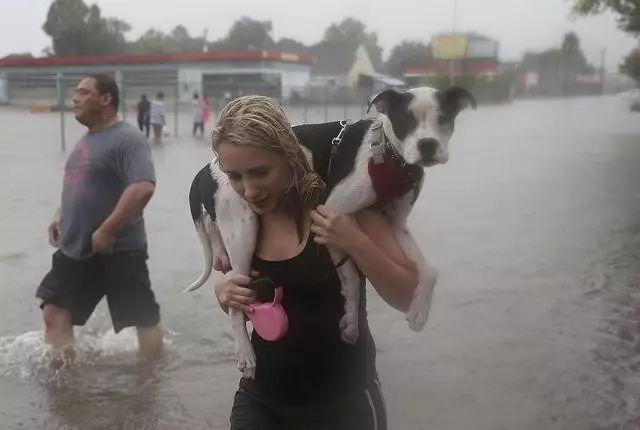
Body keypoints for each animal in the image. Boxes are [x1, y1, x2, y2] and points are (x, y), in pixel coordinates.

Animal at [185, 85, 476, 376]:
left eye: (444, 119)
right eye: (406, 120)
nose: (428, 145)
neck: (388, 156)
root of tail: (207, 168)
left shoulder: (396, 225)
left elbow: (430, 270)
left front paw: (419, 311)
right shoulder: (330, 213)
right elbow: (352, 277)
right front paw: (351, 320)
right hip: (243, 230)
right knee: (237, 303)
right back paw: (246, 353)